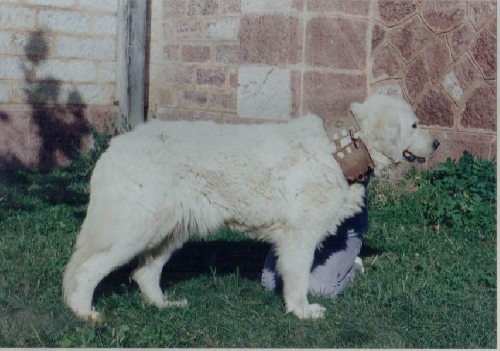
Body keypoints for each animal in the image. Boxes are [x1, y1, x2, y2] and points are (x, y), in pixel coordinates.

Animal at [61, 95, 438, 320]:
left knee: (144, 273)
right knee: (86, 271)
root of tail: (113, 148)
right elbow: (299, 279)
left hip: (171, 229)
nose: (436, 143)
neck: (341, 150)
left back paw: (164, 305)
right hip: (133, 229)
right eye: (415, 124)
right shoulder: (299, 238)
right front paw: (302, 312)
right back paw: (84, 313)